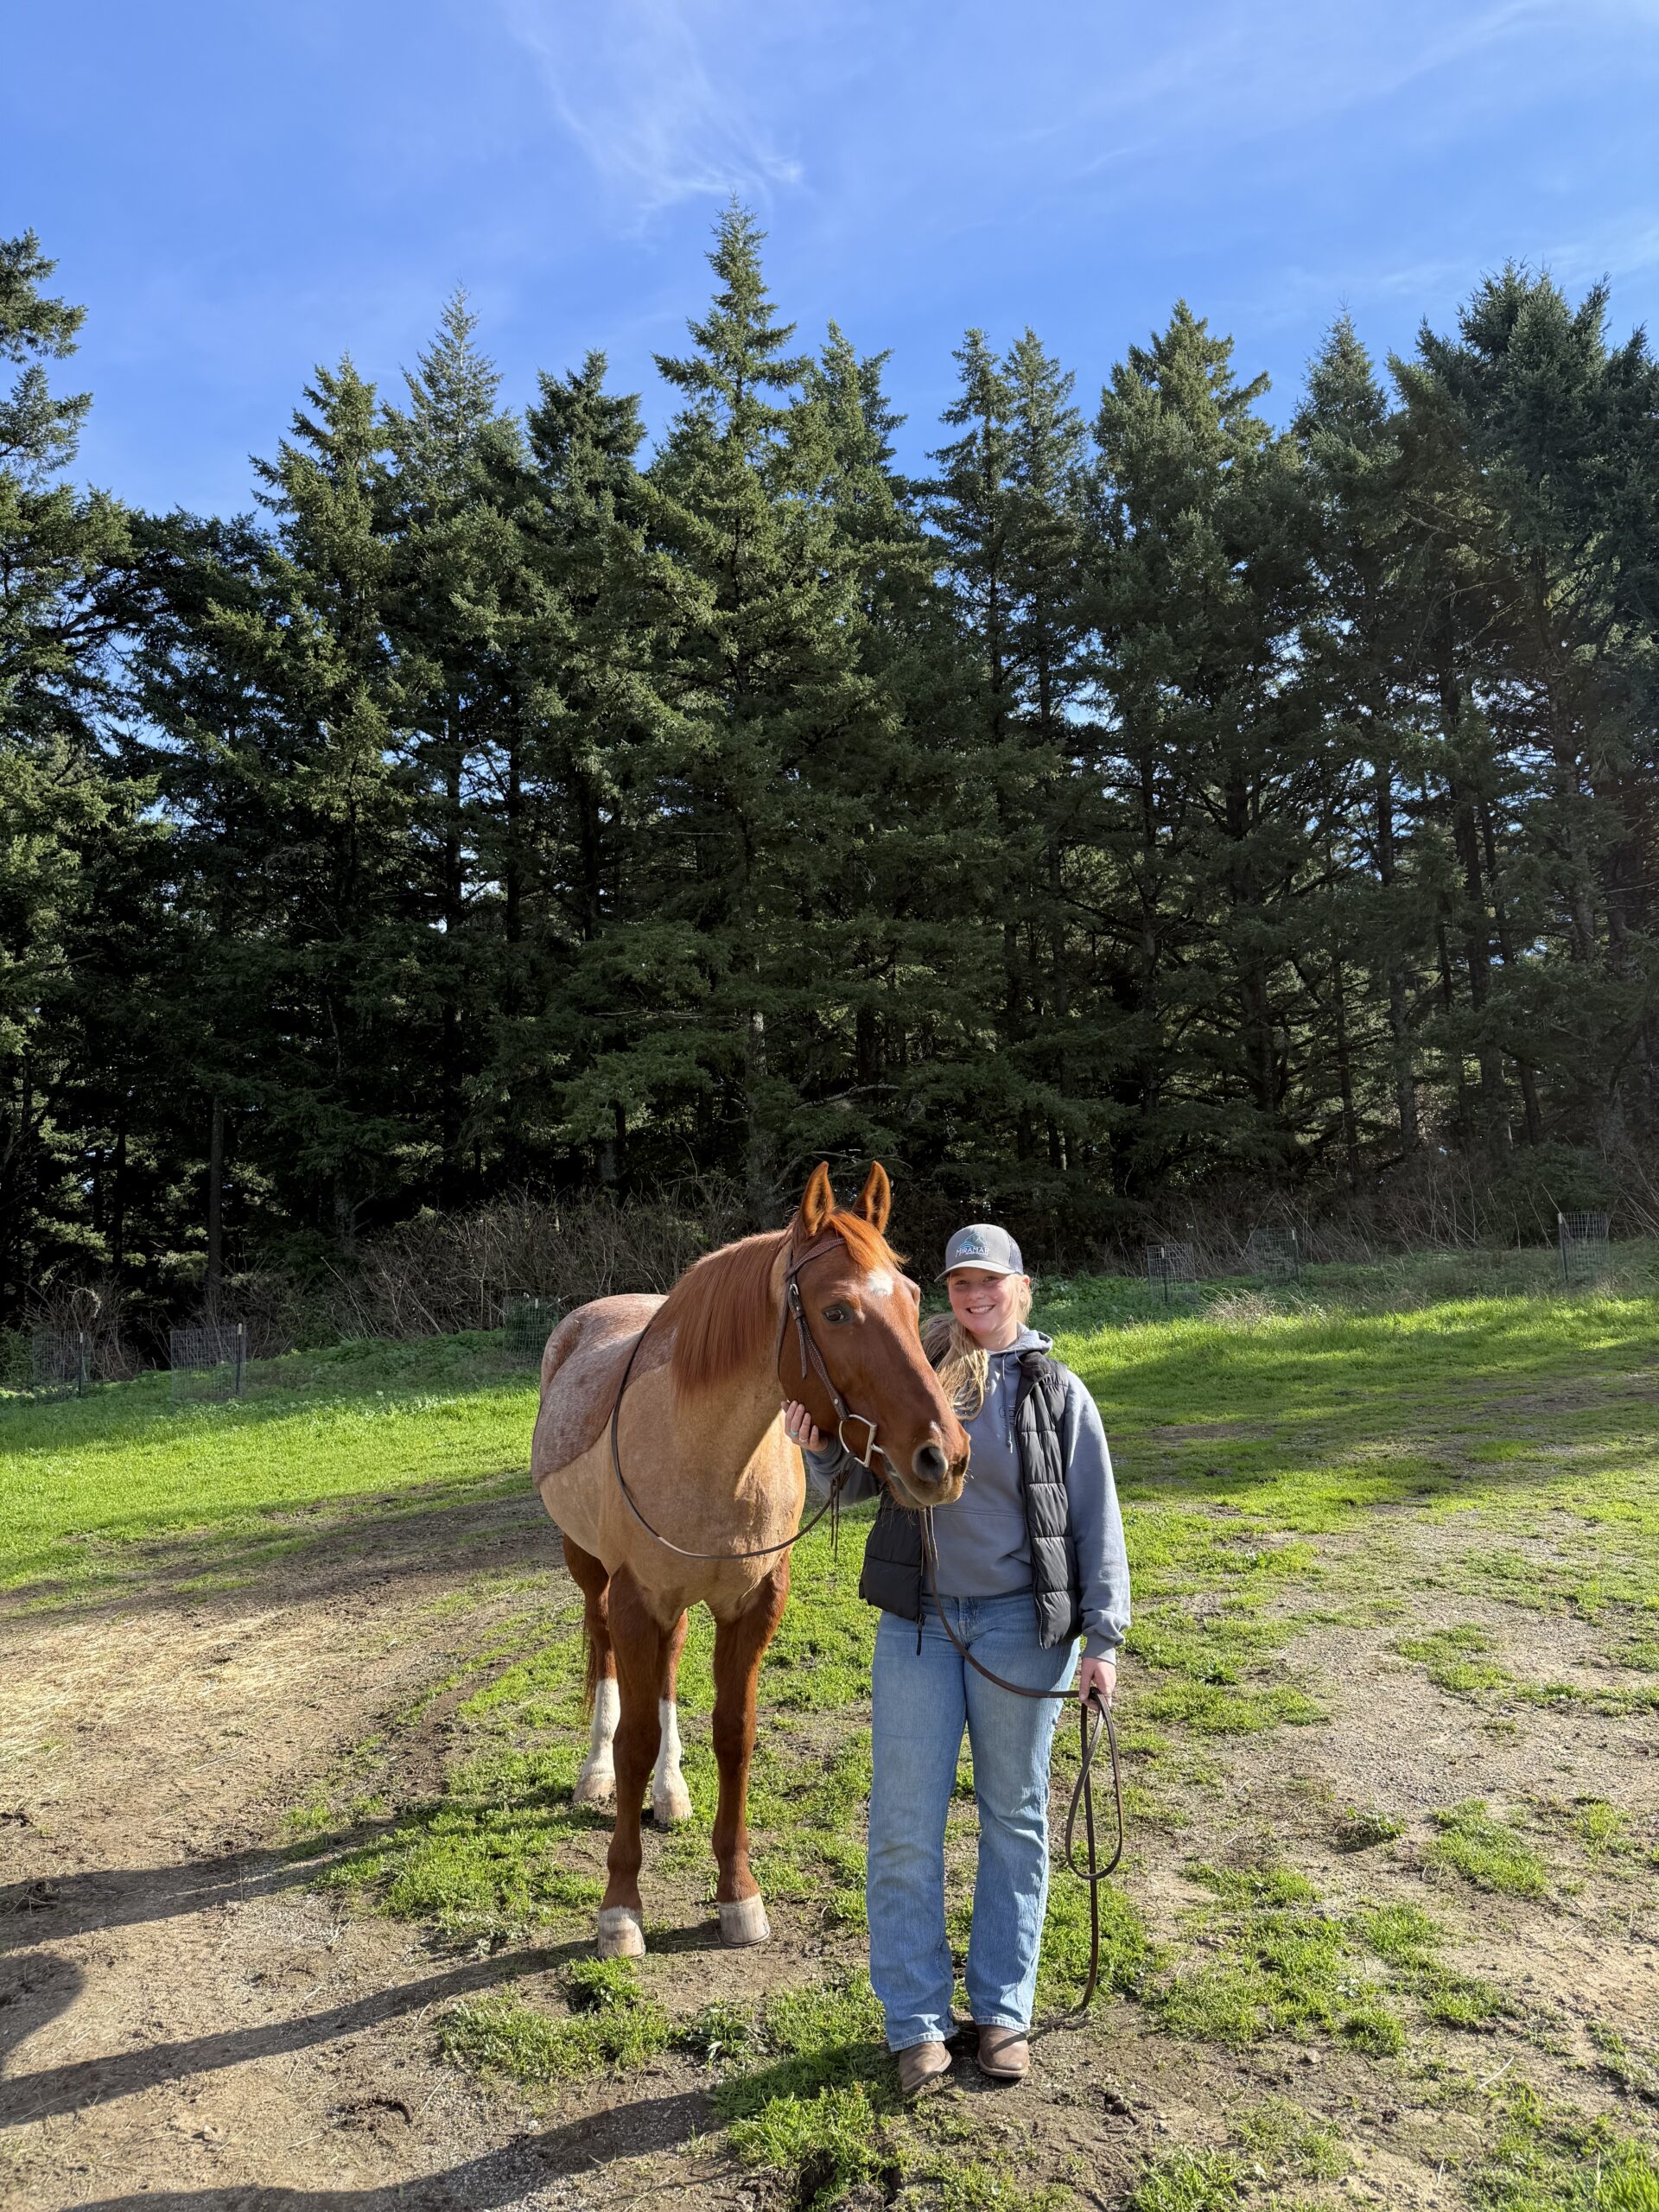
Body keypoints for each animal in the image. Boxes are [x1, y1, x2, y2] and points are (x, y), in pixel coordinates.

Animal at [531, 1161, 970, 1958]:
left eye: (914, 1296)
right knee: (604, 1656)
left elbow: (734, 1735)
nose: (942, 1458)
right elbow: (635, 1737)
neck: (709, 1453)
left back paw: (670, 1792)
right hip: (591, 1570)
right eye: (836, 1312)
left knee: (669, 1671)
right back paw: (594, 1774)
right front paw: (620, 1909)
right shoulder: (636, 1599)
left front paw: (737, 1893)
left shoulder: (752, 1604)